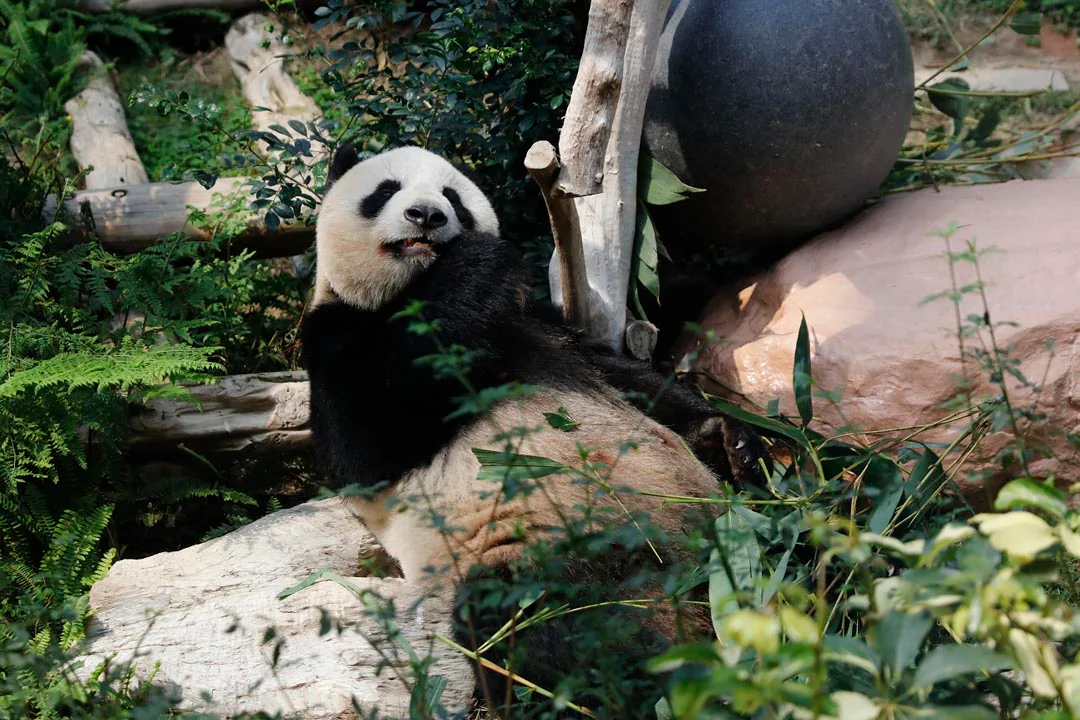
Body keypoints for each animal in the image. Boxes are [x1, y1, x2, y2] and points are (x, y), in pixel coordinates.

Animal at [300, 143, 764, 716]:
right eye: (386, 190)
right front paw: (473, 265)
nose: (427, 215)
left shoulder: (536, 322)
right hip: (539, 546)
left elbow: (625, 376)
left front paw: (726, 435)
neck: (411, 291)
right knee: (541, 619)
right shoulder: (334, 337)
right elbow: (364, 442)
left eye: (453, 198)